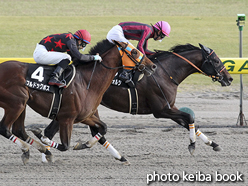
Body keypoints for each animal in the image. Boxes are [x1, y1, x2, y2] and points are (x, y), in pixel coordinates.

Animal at [0, 39, 156, 164]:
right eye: (134, 52)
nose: (153, 66)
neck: (87, 81)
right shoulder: (66, 118)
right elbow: (65, 145)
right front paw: (43, 137)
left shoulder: (85, 116)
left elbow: (103, 128)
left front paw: (84, 145)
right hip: (16, 103)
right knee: (5, 129)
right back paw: (32, 148)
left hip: (22, 104)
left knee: (19, 130)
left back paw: (37, 150)